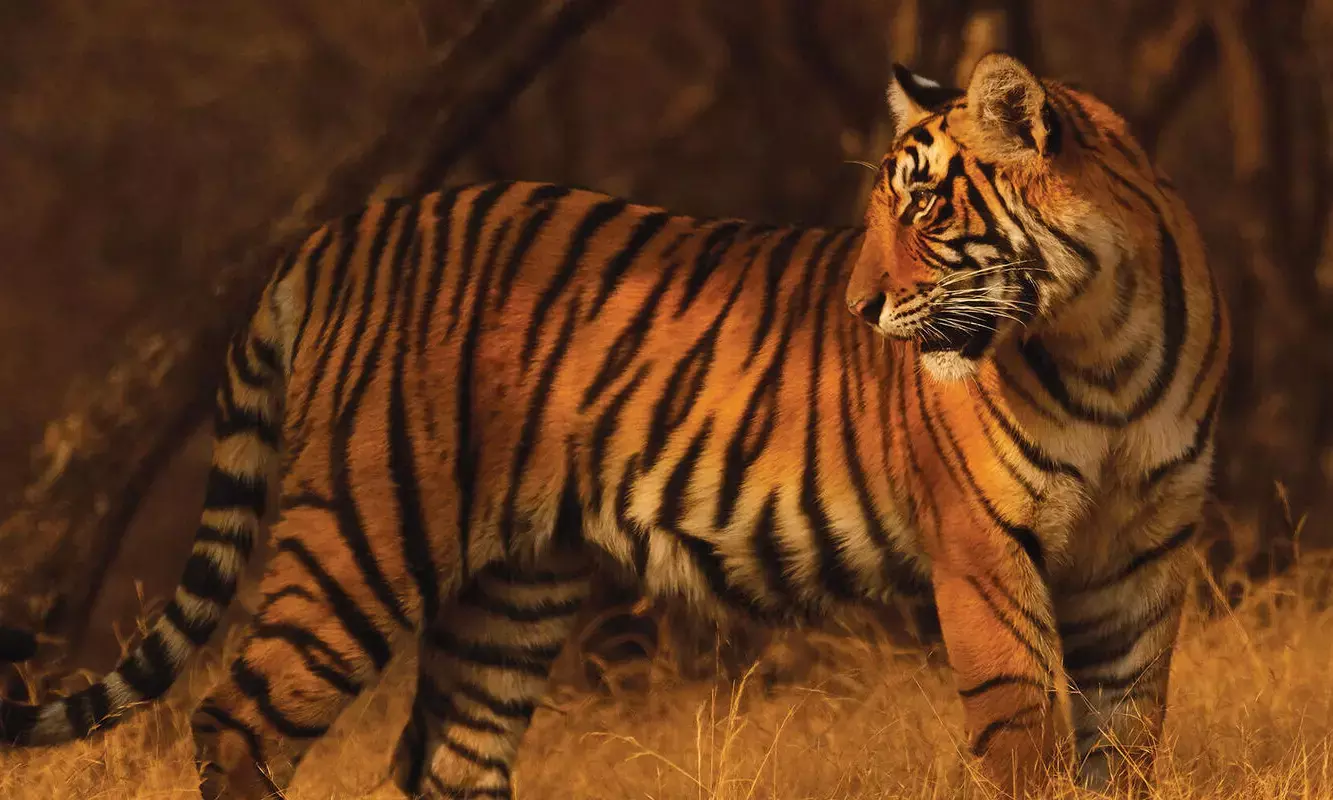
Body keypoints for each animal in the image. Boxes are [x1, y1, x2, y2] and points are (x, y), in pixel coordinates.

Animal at [0, 52, 1227, 799]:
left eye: (925, 206)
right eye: (881, 207)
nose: (856, 308)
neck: (1098, 339)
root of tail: (343, 227)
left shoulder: (1139, 562)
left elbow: (1126, 742)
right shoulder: (983, 551)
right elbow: (1025, 738)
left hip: (514, 586)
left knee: (447, 755)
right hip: (361, 535)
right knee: (236, 719)